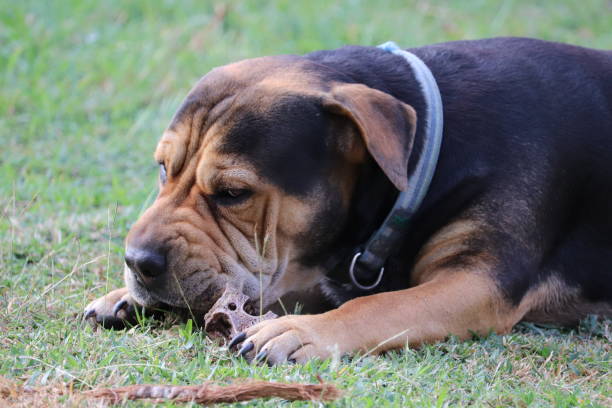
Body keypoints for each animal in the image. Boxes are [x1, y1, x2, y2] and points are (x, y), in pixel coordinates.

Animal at [85, 37, 612, 364]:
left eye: (234, 194)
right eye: (163, 169)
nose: (137, 262)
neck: (427, 150)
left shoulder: (477, 281)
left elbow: (379, 306)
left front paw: (302, 332)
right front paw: (121, 298)